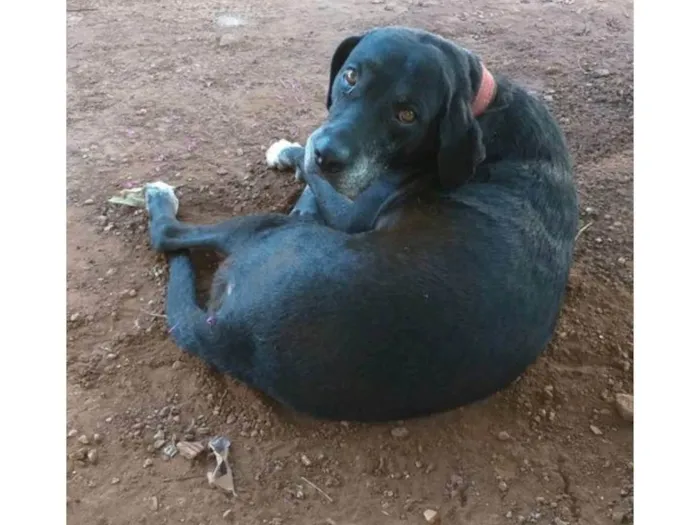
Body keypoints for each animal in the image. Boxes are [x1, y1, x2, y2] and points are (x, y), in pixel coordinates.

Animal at [145, 27, 576, 422]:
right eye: (350, 76)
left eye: (407, 114)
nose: (328, 155)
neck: (483, 102)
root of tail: (234, 335)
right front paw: (298, 156)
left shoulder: (351, 213)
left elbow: (314, 177)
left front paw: (292, 154)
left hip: (271, 230)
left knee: (168, 234)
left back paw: (161, 201)